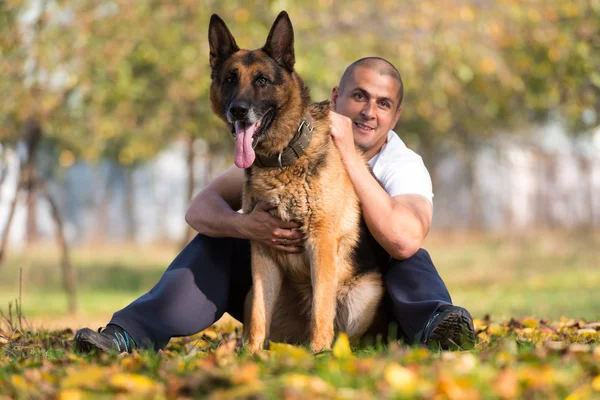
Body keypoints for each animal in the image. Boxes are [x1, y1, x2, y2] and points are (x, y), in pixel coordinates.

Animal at [206, 10, 384, 354]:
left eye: (262, 80)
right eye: (230, 79)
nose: (238, 111)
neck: (281, 157)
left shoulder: (321, 242)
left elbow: (322, 307)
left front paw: (319, 355)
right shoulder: (262, 252)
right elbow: (259, 315)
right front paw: (251, 356)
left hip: (365, 293)